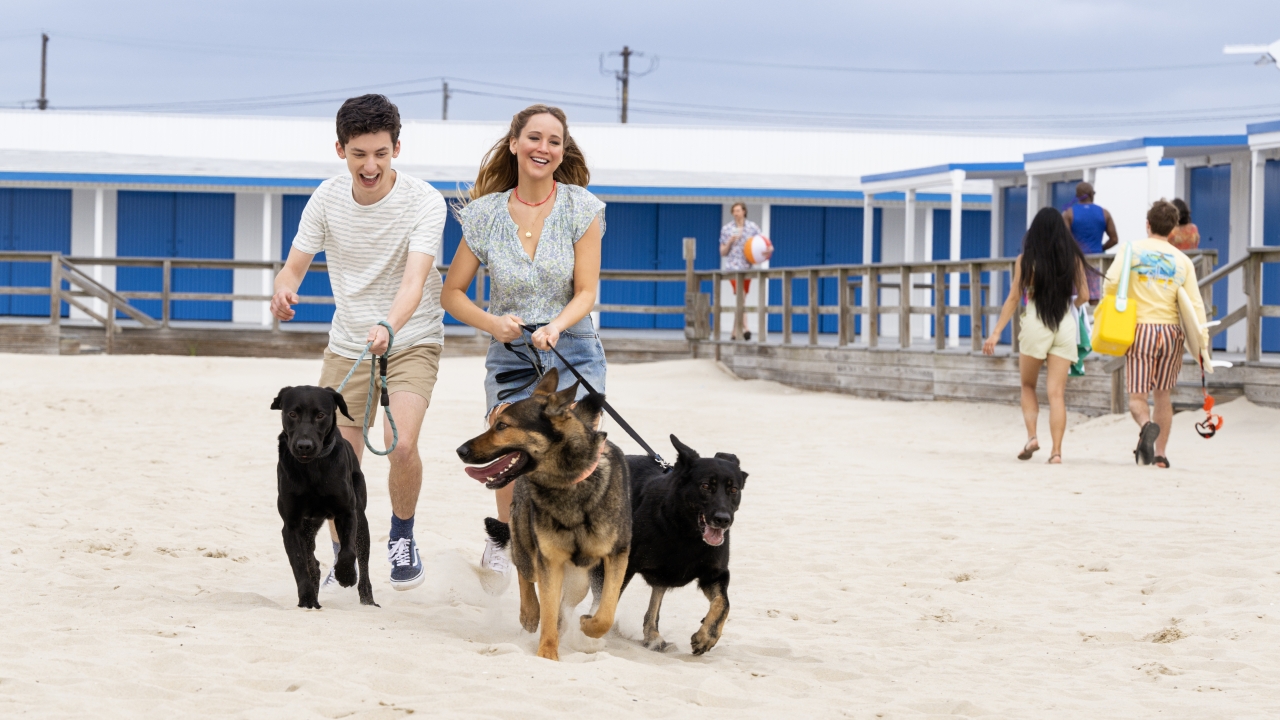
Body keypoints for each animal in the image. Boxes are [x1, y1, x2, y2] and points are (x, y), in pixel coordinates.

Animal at [272, 384, 376, 607]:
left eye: (320, 415)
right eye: (292, 413)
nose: (304, 445)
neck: (312, 469)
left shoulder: (346, 512)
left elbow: (347, 552)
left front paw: (346, 575)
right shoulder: (292, 524)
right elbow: (300, 564)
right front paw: (307, 599)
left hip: (361, 519)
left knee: (363, 561)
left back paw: (368, 599)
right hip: (308, 527)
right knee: (313, 562)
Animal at [591, 435, 747, 653]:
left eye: (733, 490)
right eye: (705, 486)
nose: (723, 520)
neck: (685, 531)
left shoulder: (715, 574)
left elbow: (723, 604)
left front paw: (707, 637)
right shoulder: (623, 566)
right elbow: (606, 601)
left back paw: (652, 636)